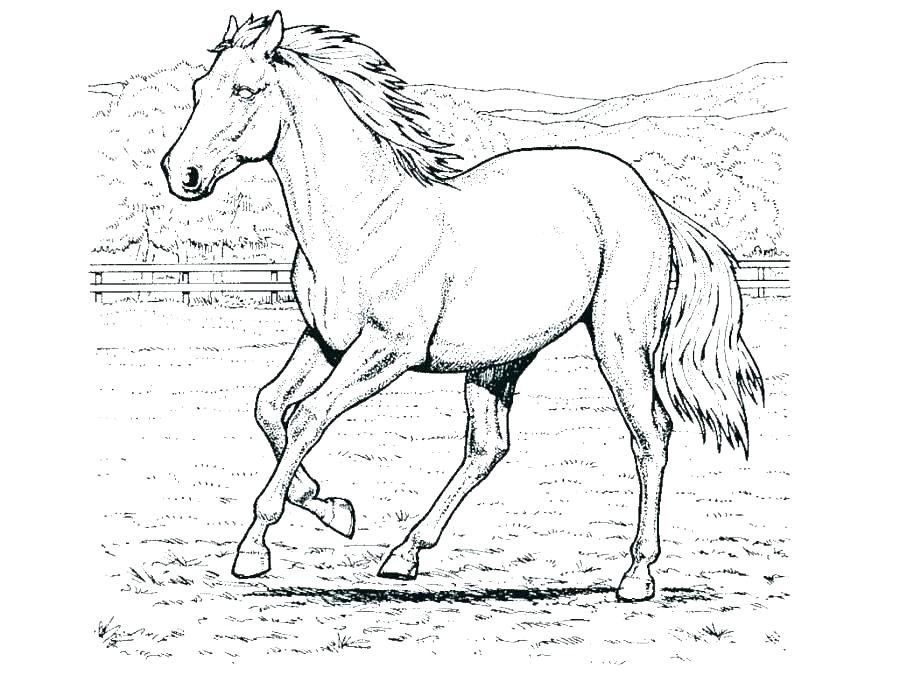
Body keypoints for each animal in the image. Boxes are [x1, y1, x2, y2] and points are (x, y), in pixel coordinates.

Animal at [161, 12, 763, 602]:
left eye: (245, 90)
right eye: (198, 89)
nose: (179, 174)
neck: (365, 223)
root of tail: (648, 197)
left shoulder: (386, 352)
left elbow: (307, 416)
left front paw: (254, 550)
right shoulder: (325, 342)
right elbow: (268, 406)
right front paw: (333, 509)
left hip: (620, 341)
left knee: (650, 435)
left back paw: (636, 575)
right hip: (499, 361)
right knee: (488, 447)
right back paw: (404, 555)